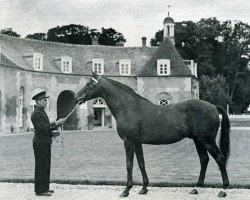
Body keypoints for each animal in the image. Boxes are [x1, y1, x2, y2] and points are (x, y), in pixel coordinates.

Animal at [74, 71, 230, 197]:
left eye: (89, 84)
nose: (76, 98)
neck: (128, 107)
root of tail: (213, 106)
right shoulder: (137, 142)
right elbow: (141, 163)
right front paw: (144, 188)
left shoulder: (128, 141)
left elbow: (129, 164)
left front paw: (126, 190)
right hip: (198, 140)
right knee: (204, 160)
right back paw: (197, 187)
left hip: (208, 140)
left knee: (220, 158)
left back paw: (223, 189)